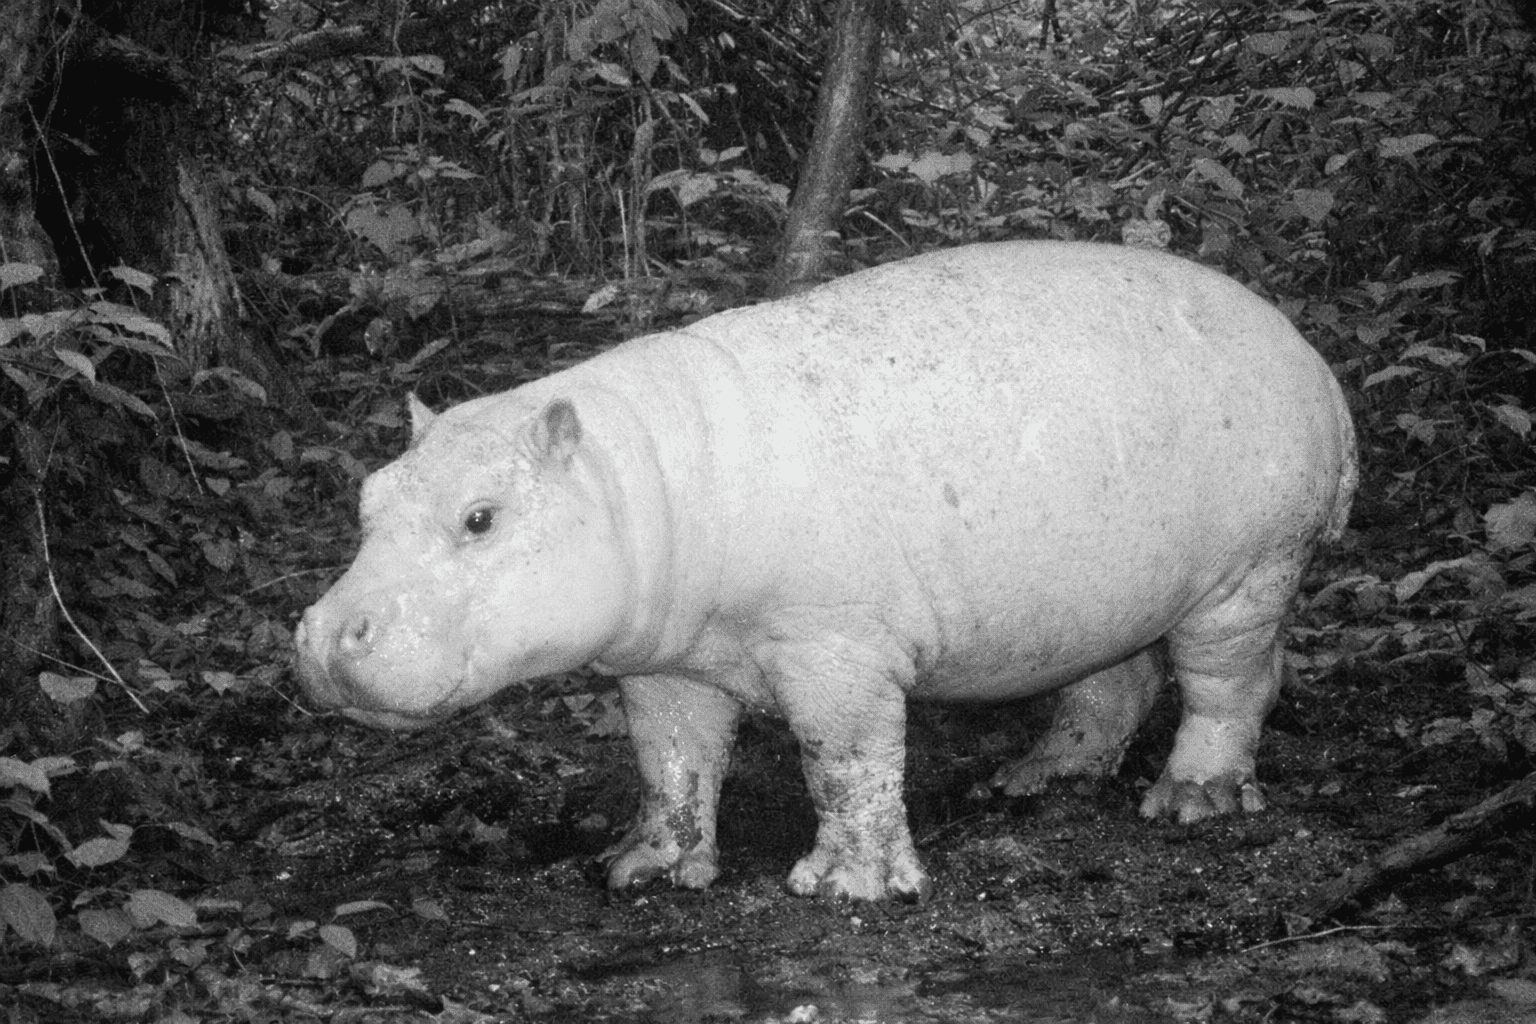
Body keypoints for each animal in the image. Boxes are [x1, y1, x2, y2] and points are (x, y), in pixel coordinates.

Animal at [295, 241, 1356, 901]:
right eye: (368, 494)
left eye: (480, 516)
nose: (320, 634)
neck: (633, 475)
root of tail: (1312, 357)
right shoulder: (664, 664)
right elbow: (670, 762)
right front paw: (641, 871)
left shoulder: (834, 646)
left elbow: (846, 759)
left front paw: (846, 889)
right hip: (1112, 592)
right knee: (1116, 683)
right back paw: (1030, 781)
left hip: (1248, 572)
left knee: (1230, 682)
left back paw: (1189, 801)